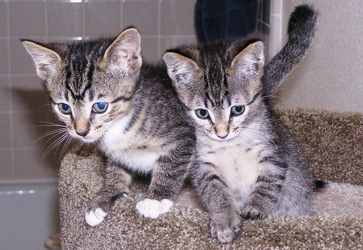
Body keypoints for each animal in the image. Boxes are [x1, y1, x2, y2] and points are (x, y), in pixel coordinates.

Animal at [22, 27, 196, 227]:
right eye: (64, 108)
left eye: (100, 106)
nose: (81, 132)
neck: (119, 125)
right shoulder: (117, 153)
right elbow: (115, 169)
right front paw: (107, 194)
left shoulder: (184, 132)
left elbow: (172, 165)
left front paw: (156, 199)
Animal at [164, 4, 318, 243]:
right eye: (202, 113)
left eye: (237, 109)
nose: (222, 133)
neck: (231, 146)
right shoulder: (203, 166)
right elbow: (215, 191)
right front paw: (225, 220)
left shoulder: (274, 153)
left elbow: (269, 182)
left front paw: (255, 208)